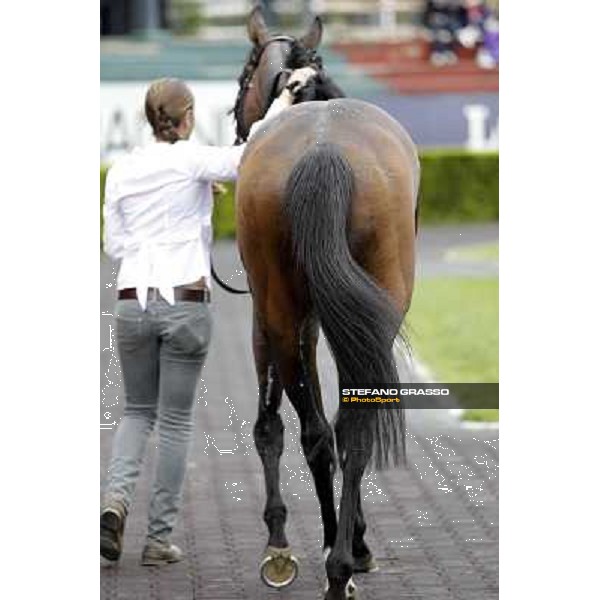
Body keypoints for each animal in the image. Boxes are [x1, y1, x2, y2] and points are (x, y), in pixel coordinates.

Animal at [232, 5, 420, 600]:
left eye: (243, 73)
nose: (238, 121)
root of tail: (323, 149)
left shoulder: (272, 320)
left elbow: (272, 424)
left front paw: (280, 544)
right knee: (346, 428)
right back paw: (344, 560)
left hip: (284, 311)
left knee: (323, 430)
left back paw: (338, 560)